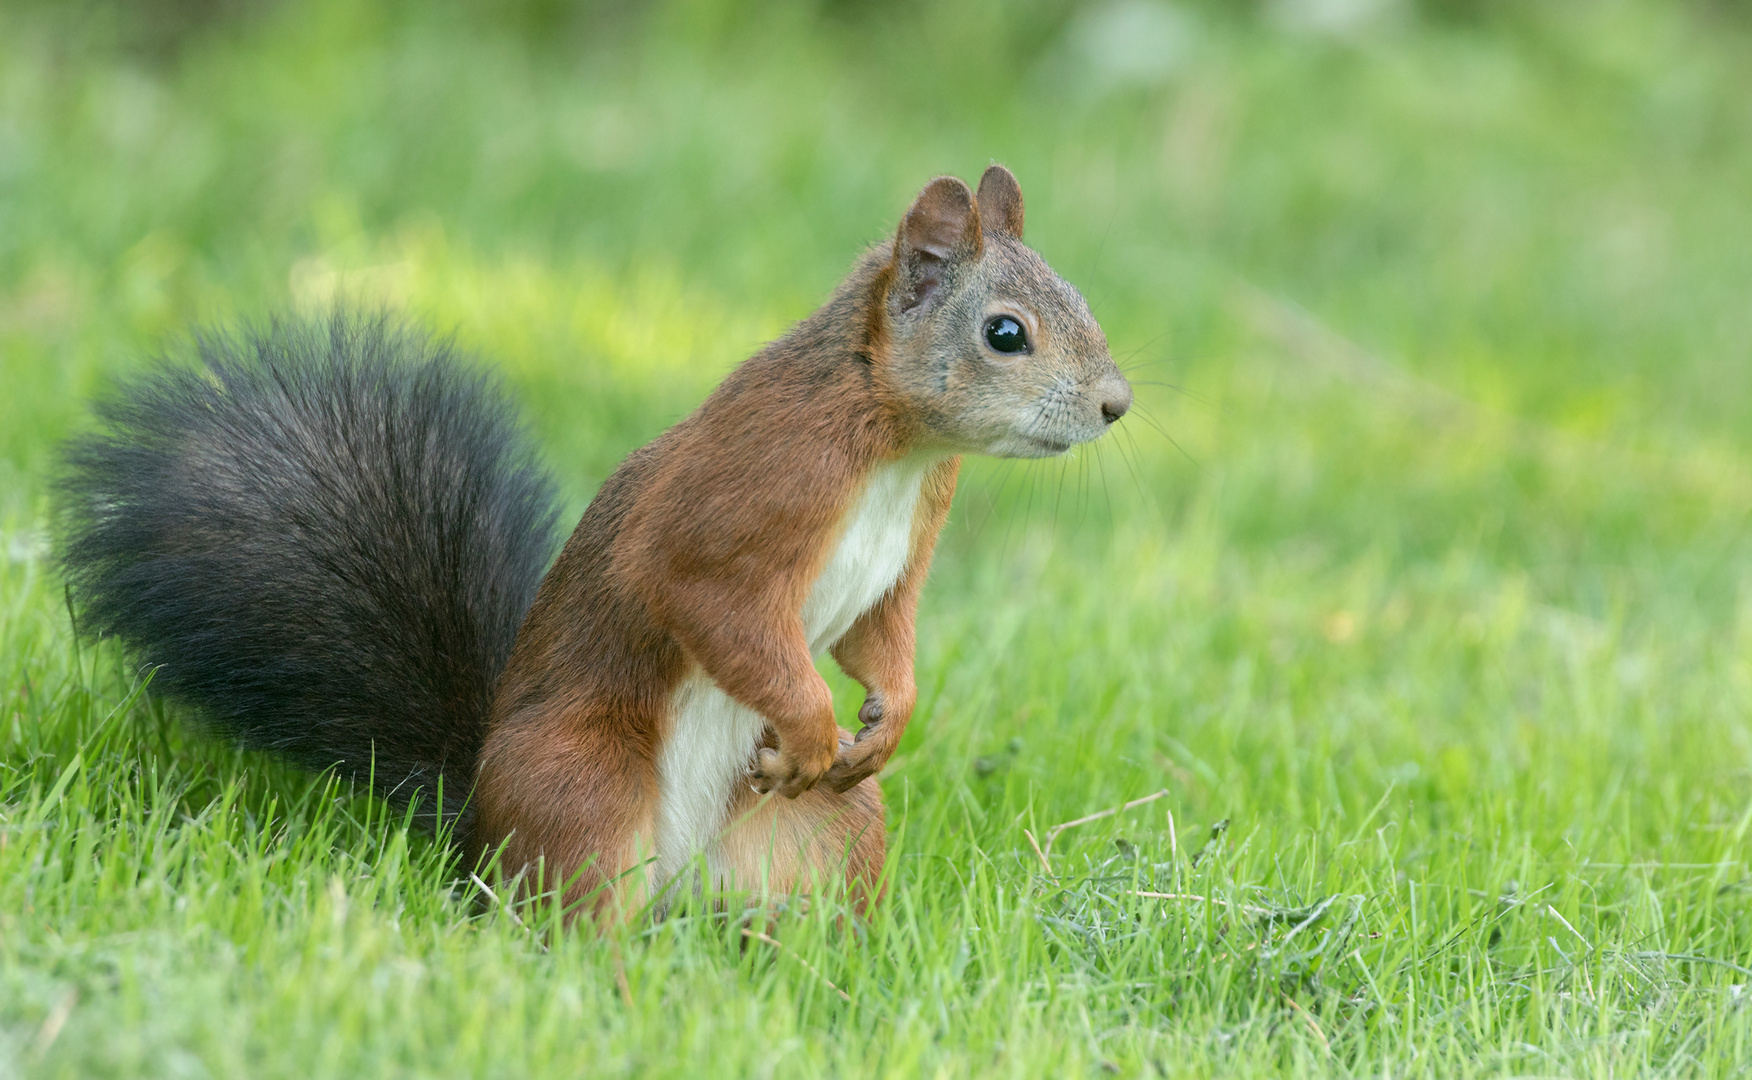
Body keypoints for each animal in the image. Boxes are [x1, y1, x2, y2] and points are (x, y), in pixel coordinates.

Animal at [58, 166, 1135, 918]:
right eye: (1005, 334)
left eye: (1084, 300)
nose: (1118, 405)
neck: (896, 446)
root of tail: (472, 825)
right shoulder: (742, 500)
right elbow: (715, 603)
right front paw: (814, 724)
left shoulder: (898, 562)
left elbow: (880, 636)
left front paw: (887, 721)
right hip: (581, 786)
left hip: (826, 832)